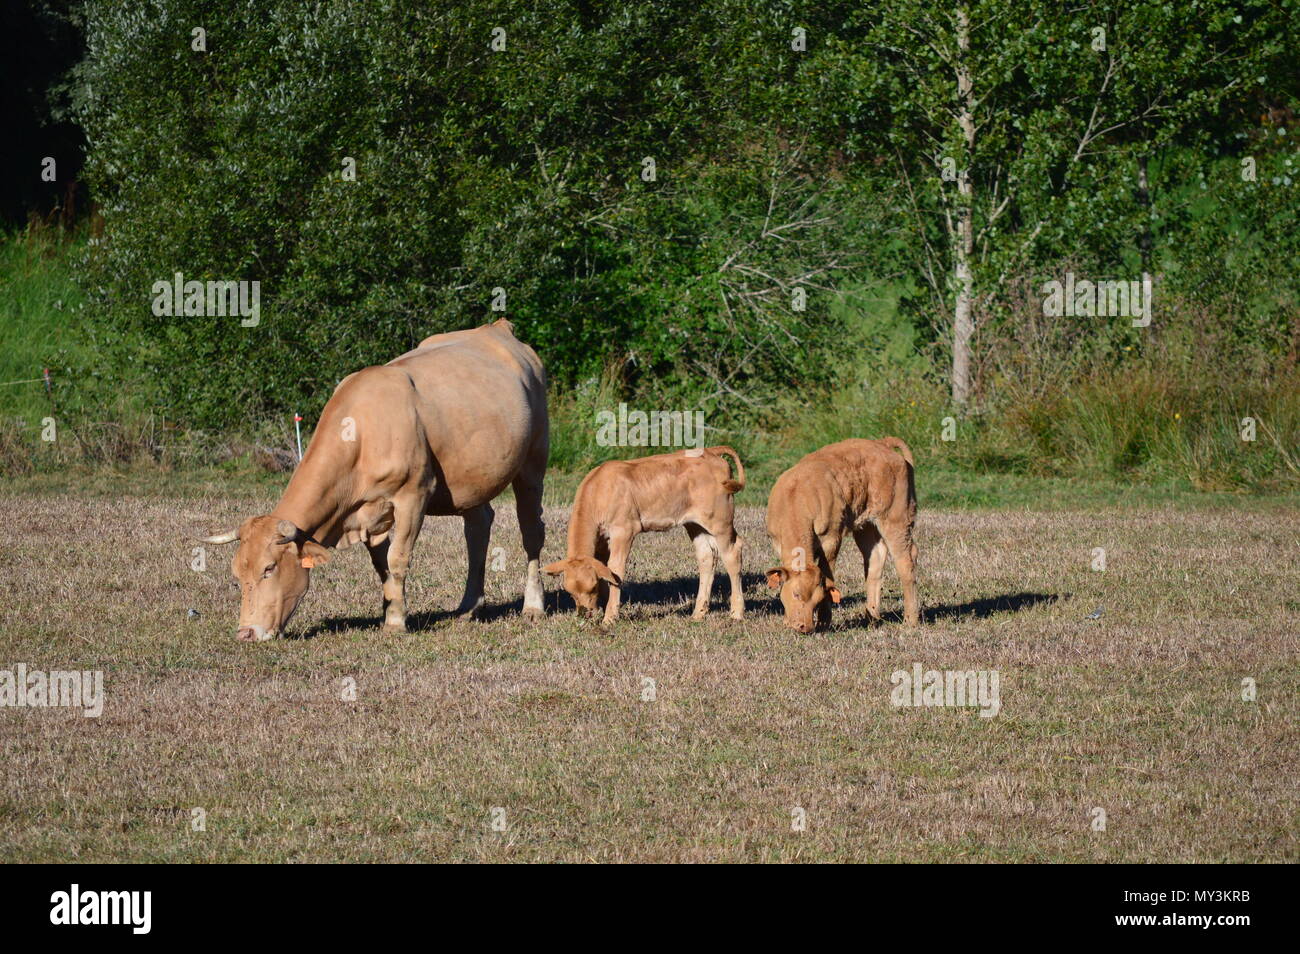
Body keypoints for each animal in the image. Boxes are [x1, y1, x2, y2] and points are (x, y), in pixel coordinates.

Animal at [201, 321, 548, 642]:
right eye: (237, 572)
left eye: (269, 568)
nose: (246, 633)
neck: (362, 431)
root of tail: (496, 328)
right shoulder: (368, 512)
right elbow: (381, 564)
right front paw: (391, 609)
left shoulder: (413, 495)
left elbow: (397, 557)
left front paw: (395, 623)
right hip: (472, 480)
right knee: (477, 529)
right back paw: (468, 607)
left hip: (533, 461)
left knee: (531, 532)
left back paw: (533, 606)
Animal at [546, 447, 748, 629]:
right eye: (570, 592)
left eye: (592, 587)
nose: (584, 613)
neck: (599, 489)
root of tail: (712, 452)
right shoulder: (602, 539)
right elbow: (604, 568)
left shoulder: (624, 530)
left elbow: (615, 569)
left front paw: (609, 617)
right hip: (695, 524)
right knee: (706, 556)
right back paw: (698, 614)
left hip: (720, 521)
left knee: (732, 553)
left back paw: (736, 613)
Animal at [764, 439, 920, 634]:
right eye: (796, 593)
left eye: (817, 599)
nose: (804, 626)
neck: (797, 499)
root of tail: (881, 443)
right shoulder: (778, 543)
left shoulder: (831, 540)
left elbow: (828, 575)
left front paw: (824, 621)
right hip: (866, 526)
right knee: (875, 560)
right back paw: (871, 617)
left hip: (895, 520)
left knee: (905, 561)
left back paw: (910, 620)